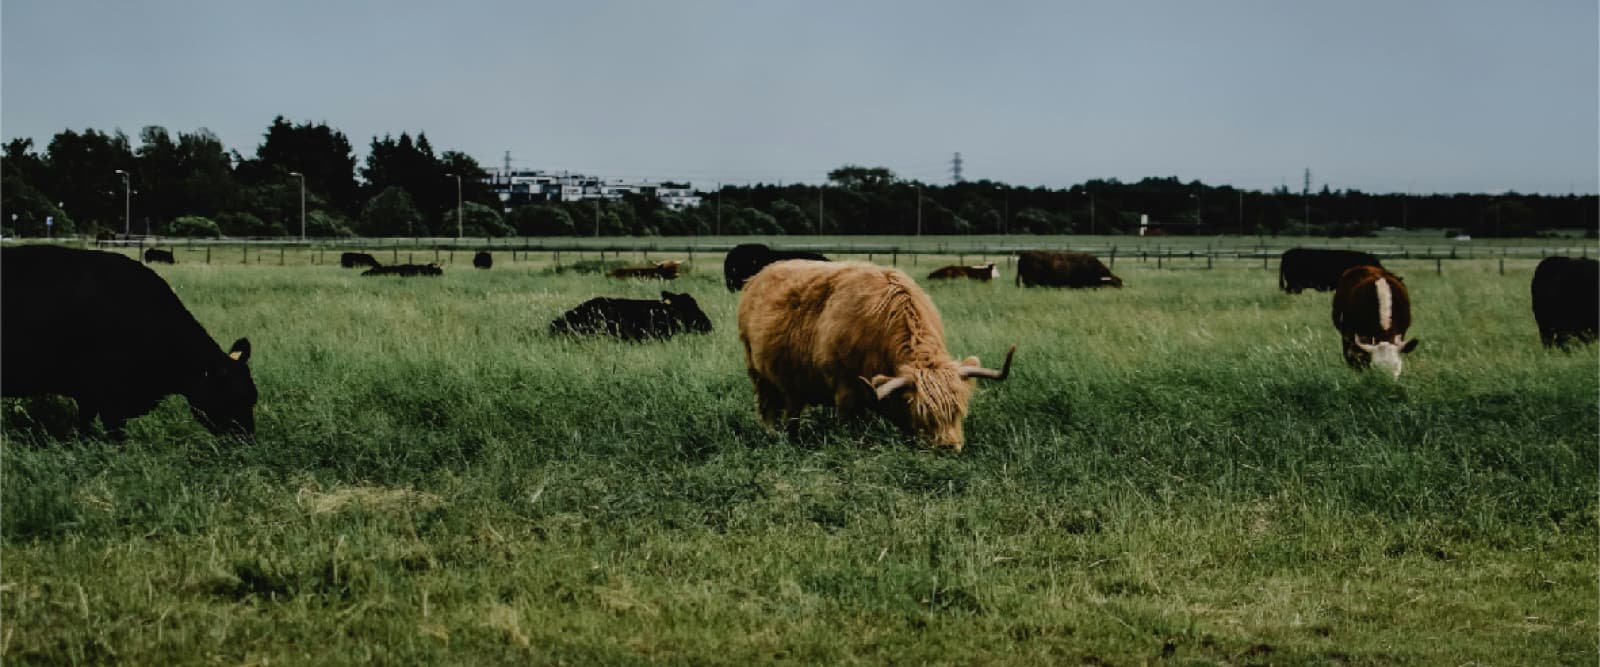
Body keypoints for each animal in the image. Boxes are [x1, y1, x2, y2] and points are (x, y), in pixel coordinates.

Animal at [736, 257, 1011, 451]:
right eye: (921, 411)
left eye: (958, 410)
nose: (947, 446)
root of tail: (757, 277)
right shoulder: (845, 391)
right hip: (757, 372)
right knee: (768, 408)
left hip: (794, 385)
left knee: (792, 410)